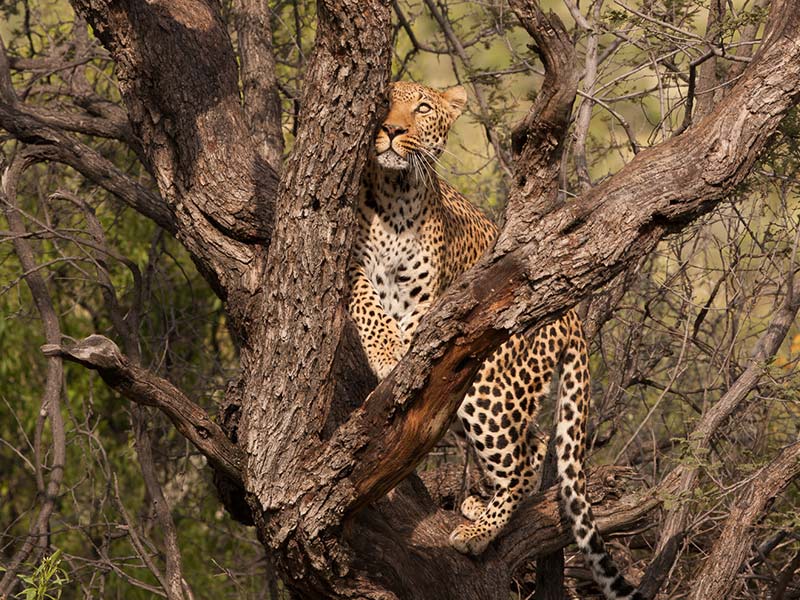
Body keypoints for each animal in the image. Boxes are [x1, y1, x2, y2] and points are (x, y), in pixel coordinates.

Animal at [350, 81, 644, 600]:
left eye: (421, 108)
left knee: (527, 455)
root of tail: (571, 316)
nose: (391, 130)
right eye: (384, 100)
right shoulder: (350, 266)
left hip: (485, 384)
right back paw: (477, 507)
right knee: (532, 443)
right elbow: (367, 300)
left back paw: (479, 530)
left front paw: (392, 359)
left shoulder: (431, 307)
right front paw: (384, 352)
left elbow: (415, 343)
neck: (396, 196)